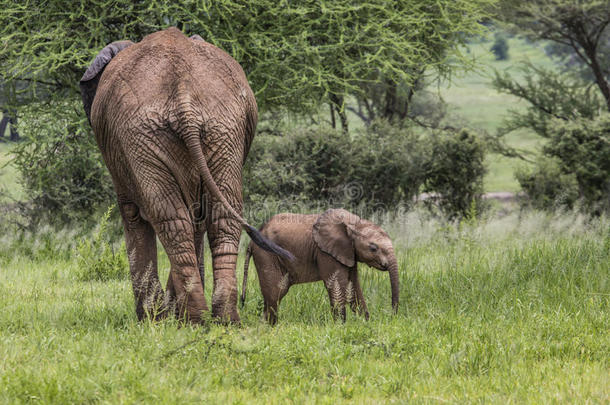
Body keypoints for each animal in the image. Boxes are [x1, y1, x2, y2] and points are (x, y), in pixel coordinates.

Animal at [79, 26, 292, 324]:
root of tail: (184, 93)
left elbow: (133, 215)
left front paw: (154, 318)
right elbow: (196, 218)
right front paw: (167, 314)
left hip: (151, 135)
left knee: (172, 218)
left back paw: (194, 318)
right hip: (217, 130)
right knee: (216, 215)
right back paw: (218, 319)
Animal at [240, 210, 396, 324]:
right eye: (373, 248)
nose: (393, 314)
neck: (354, 223)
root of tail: (251, 241)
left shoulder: (348, 254)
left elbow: (353, 289)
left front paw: (366, 323)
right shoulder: (325, 253)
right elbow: (337, 287)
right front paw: (340, 326)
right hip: (266, 255)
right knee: (276, 293)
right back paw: (271, 327)